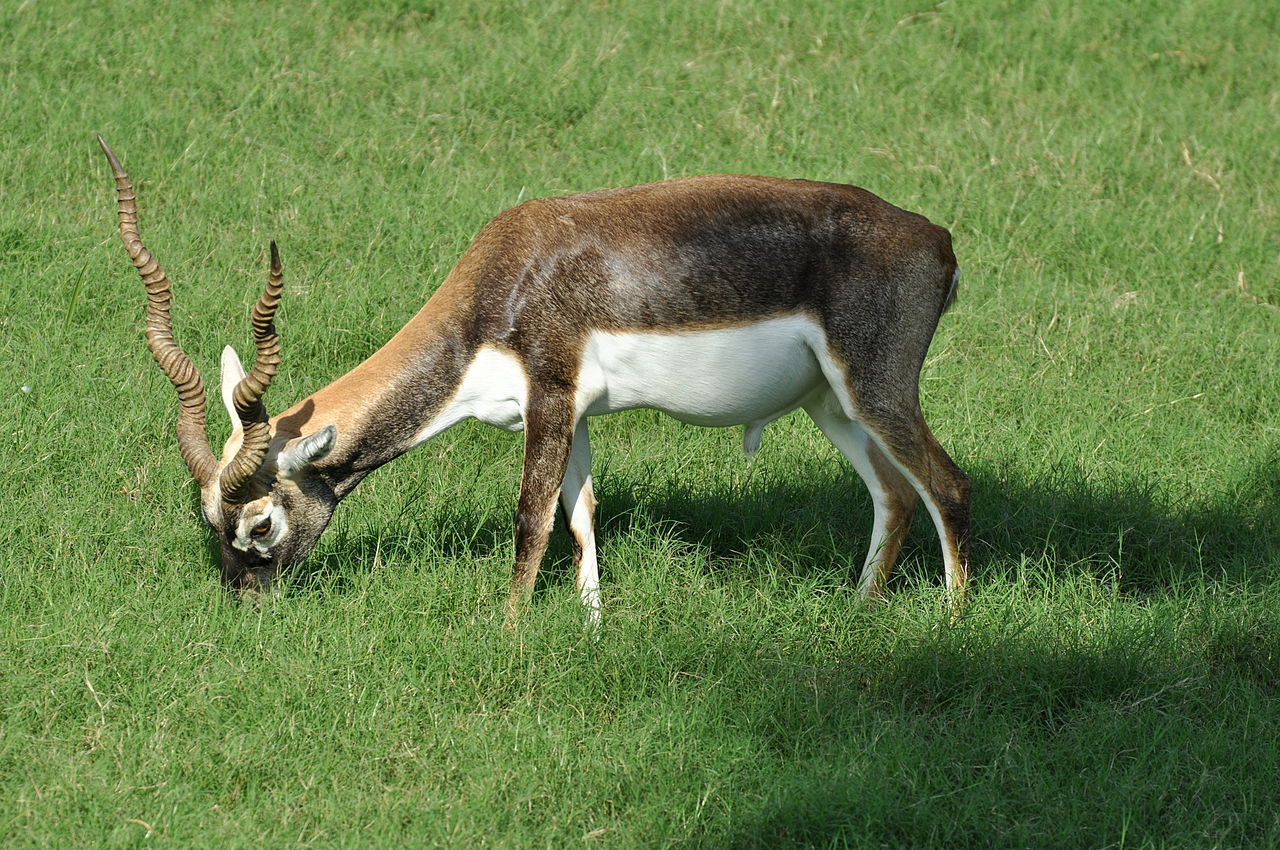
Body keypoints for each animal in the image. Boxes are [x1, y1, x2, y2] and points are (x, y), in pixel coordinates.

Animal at [102, 136, 967, 622]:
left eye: (259, 524)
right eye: (207, 520)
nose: (244, 604)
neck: (502, 285)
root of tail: (937, 239)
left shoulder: (549, 393)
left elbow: (532, 520)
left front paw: (508, 631)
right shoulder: (575, 415)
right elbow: (582, 515)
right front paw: (590, 626)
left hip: (876, 390)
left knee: (946, 486)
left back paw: (953, 625)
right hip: (831, 403)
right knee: (895, 496)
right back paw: (859, 612)